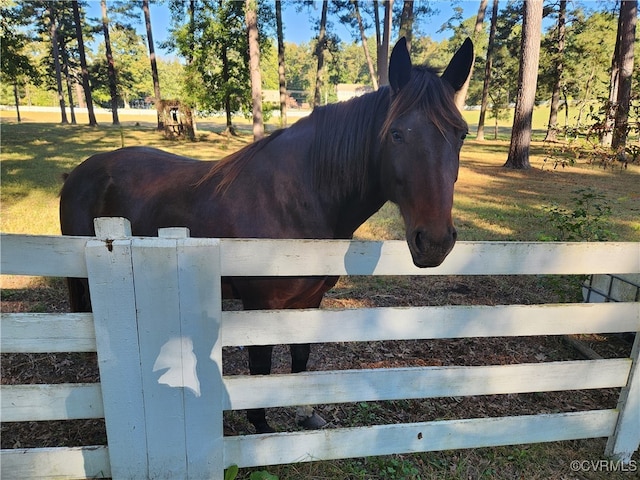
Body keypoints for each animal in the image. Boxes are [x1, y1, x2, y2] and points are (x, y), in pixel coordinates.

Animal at [58, 38, 470, 436]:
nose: (434, 241)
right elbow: (261, 365)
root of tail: (79, 172)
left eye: (461, 134)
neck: (296, 199)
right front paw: (260, 425)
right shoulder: (260, 304)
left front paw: (306, 413)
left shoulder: (310, 300)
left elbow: (300, 355)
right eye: (397, 133)